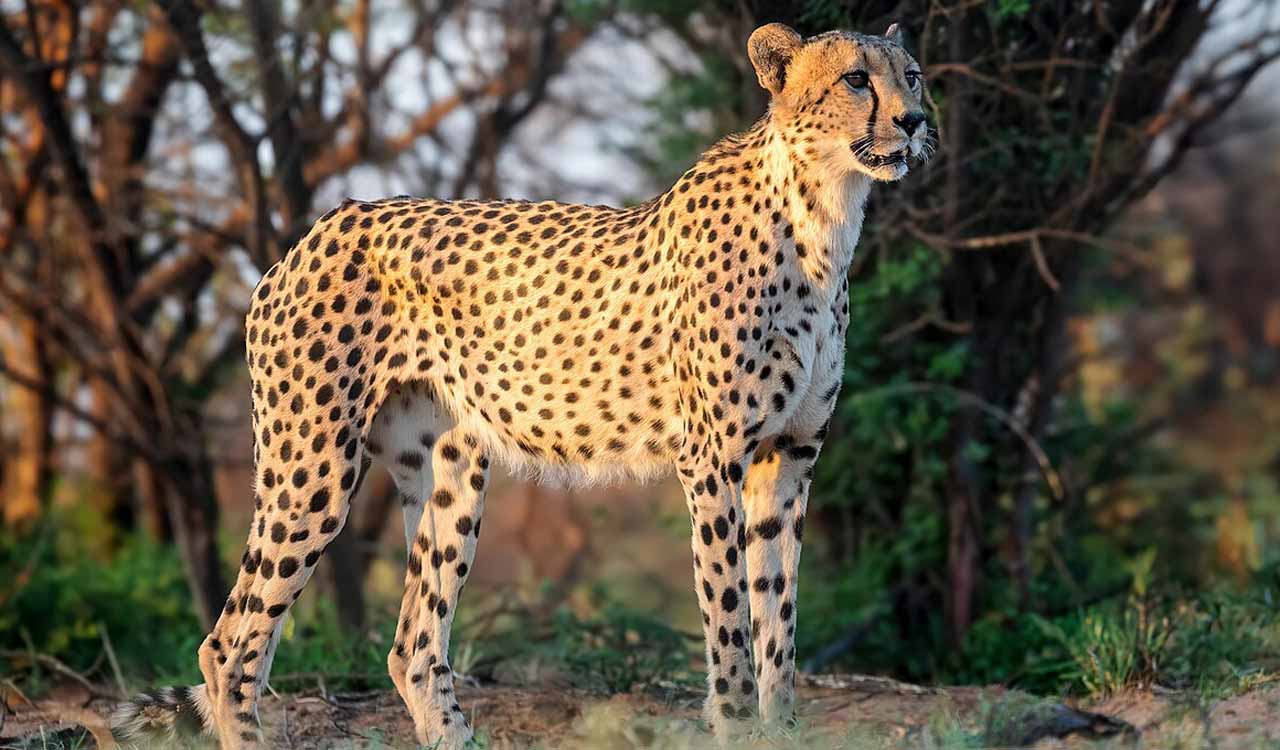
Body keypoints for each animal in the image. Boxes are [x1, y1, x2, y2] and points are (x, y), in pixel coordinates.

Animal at [112, 22, 929, 749]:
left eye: (913, 76)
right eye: (857, 79)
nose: (917, 121)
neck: (823, 215)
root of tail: (315, 231)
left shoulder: (789, 458)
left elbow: (778, 624)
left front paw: (782, 730)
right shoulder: (714, 459)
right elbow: (730, 620)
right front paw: (736, 729)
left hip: (450, 475)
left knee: (412, 647)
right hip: (311, 468)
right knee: (231, 646)